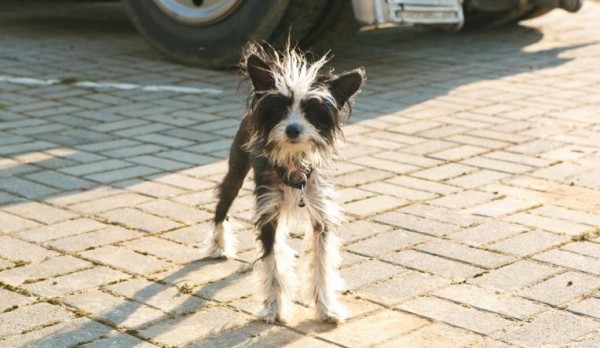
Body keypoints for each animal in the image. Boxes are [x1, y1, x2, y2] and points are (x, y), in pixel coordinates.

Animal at [205, 42, 366, 324]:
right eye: (279, 109)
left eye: (312, 111)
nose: (292, 129)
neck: (293, 164)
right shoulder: (268, 212)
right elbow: (273, 266)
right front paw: (275, 309)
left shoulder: (320, 214)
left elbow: (321, 264)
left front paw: (326, 308)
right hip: (236, 172)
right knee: (222, 207)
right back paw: (219, 245)